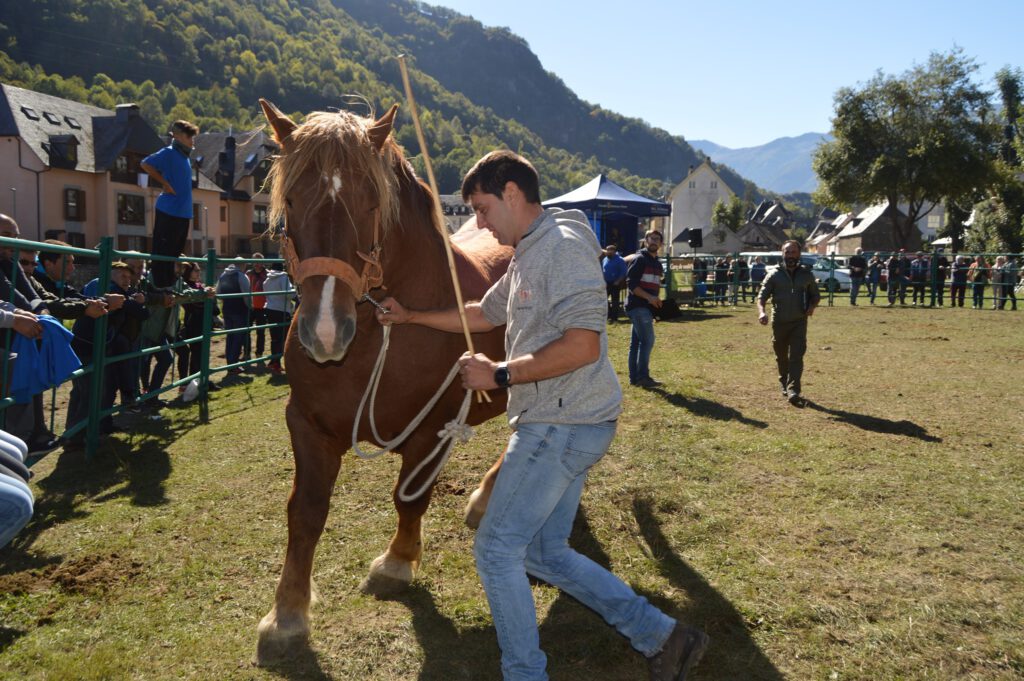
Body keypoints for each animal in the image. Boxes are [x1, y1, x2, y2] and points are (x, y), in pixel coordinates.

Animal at [258, 98, 509, 659]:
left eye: (372, 201)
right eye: (290, 198)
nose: (326, 331)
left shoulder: (432, 430)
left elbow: (410, 497)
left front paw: (397, 564)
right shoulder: (306, 425)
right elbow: (305, 512)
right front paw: (287, 614)